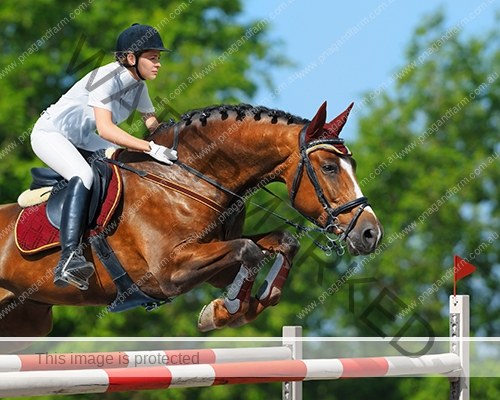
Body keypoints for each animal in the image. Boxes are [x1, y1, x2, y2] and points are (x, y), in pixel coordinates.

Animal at [0, 101, 382, 338]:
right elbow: (249, 251)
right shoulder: (168, 273)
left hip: (27, 319)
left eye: (352, 164)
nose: (371, 234)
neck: (188, 179)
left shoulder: (213, 263)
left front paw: (233, 308)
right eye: (329, 167)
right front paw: (226, 310)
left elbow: (278, 244)